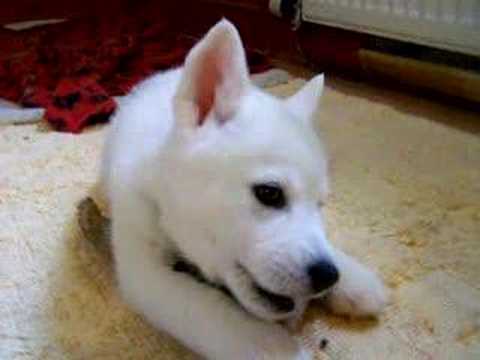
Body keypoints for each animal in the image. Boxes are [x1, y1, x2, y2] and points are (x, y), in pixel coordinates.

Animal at [100, 20, 386, 360]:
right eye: (270, 193)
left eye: (320, 205)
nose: (328, 276)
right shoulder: (144, 272)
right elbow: (209, 311)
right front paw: (271, 347)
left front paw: (353, 278)